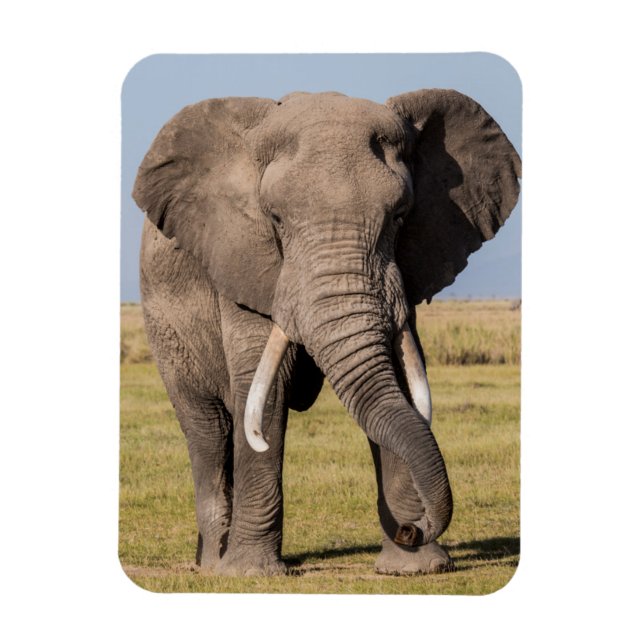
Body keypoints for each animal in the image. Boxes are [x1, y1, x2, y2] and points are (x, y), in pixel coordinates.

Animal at [132, 89, 521, 576]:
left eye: (400, 216)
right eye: (275, 219)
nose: (412, 529)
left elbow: (396, 378)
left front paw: (416, 569)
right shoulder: (245, 262)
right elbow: (265, 389)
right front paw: (251, 575)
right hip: (164, 325)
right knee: (208, 429)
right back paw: (214, 565)